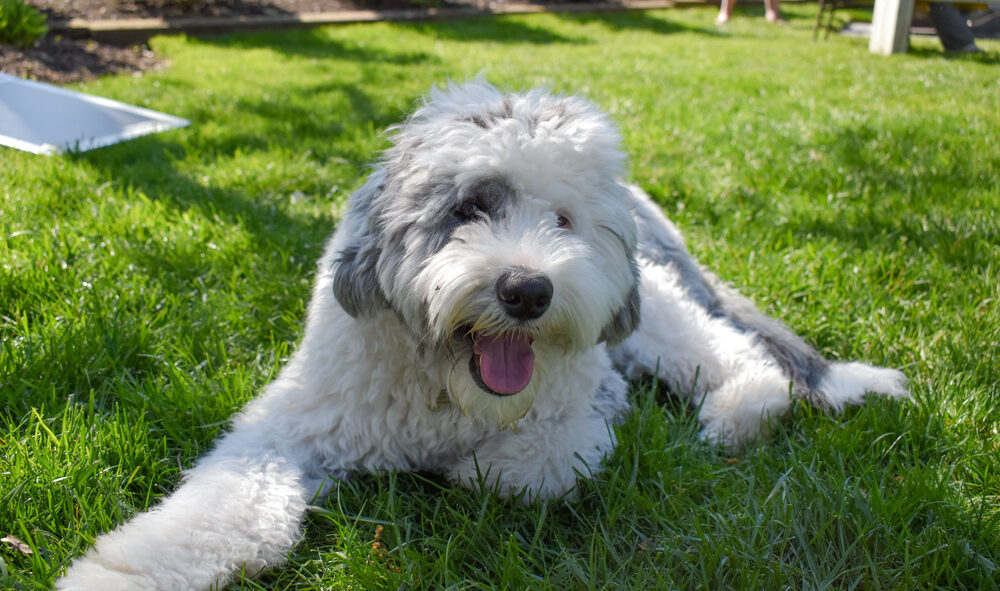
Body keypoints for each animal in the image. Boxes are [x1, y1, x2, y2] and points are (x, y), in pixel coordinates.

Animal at [58, 80, 912, 591]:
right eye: (468, 207)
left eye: (562, 219)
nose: (527, 291)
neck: (446, 386)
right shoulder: (286, 426)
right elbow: (220, 506)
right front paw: (120, 574)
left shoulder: (587, 409)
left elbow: (529, 467)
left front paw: (470, 469)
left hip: (654, 315)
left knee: (736, 356)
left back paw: (739, 413)